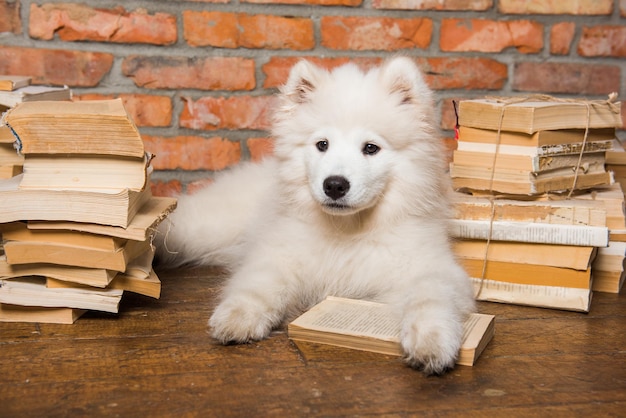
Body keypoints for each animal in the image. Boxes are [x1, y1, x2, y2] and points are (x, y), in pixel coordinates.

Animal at [156, 56, 472, 376]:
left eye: (371, 148)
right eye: (322, 144)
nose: (334, 185)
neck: (347, 230)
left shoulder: (428, 266)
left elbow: (430, 297)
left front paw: (431, 341)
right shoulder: (278, 254)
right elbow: (258, 284)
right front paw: (238, 316)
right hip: (209, 227)